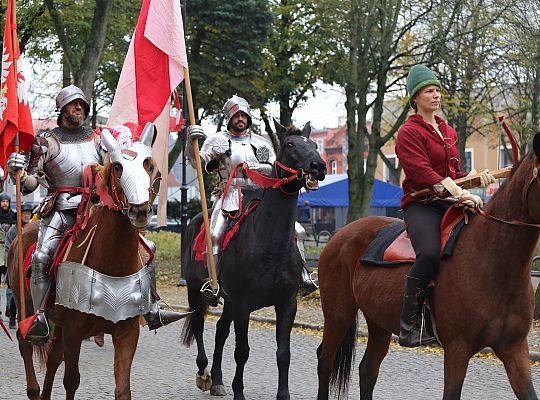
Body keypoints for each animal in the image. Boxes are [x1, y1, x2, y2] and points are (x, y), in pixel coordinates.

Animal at [8, 129, 156, 400]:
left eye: (148, 164)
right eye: (117, 166)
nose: (140, 210)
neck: (112, 263)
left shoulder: (127, 333)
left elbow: (123, 389)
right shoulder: (73, 332)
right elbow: (71, 380)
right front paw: (18, 167)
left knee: (52, 360)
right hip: (26, 308)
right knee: (26, 344)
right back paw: (34, 389)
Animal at [181, 122, 326, 400]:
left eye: (314, 144)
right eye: (290, 145)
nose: (319, 167)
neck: (269, 244)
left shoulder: (286, 304)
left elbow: (283, 354)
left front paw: (283, 395)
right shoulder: (243, 305)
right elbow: (242, 352)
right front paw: (239, 392)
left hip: (228, 302)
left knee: (220, 332)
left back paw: (217, 380)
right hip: (195, 289)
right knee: (199, 324)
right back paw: (204, 373)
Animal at [316, 135, 540, 400]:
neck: (496, 264)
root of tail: (339, 235)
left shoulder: (514, 349)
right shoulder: (457, 349)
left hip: (378, 322)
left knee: (367, 370)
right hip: (338, 314)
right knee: (325, 362)